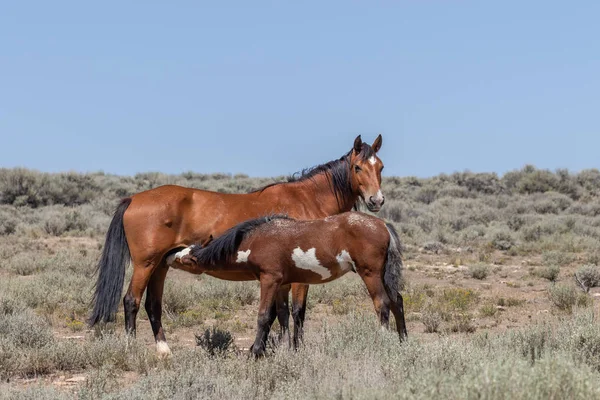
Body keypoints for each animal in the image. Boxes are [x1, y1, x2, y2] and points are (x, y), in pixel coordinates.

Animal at [166, 212, 406, 356]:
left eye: (187, 259)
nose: (169, 255)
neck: (256, 240)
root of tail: (382, 224)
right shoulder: (282, 284)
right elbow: (282, 314)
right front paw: (285, 348)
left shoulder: (269, 280)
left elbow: (264, 316)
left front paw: (255, 352)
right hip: (383, 276)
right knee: (397, 301)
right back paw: (403, 339)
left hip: (370, 274)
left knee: (382, 304)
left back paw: (383, 342)